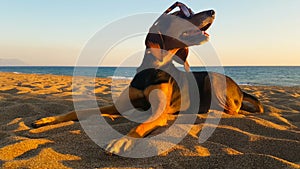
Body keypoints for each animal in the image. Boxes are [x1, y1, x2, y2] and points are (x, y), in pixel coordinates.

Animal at [32, 3, 262, 154]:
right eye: (181, 15)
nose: (213, 11)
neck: (153, 68)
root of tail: (240, 89)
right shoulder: (120, 105)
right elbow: (78, 111)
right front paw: (48, 120)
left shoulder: (159, 112)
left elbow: (139, 127)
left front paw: (120, 141)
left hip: (212, 79)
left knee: (232, 109)